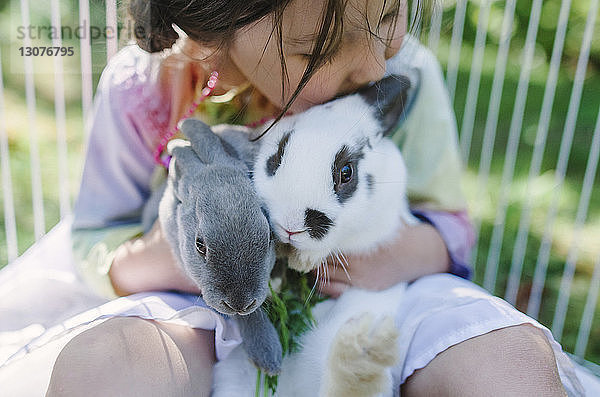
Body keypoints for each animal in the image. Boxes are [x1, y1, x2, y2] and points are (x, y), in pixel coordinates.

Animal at [213, 72, 420, 396]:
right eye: (277, 156)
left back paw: (364, 351)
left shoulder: (379, 223)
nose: (290, 226)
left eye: (346, 172)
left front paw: (304, 261)